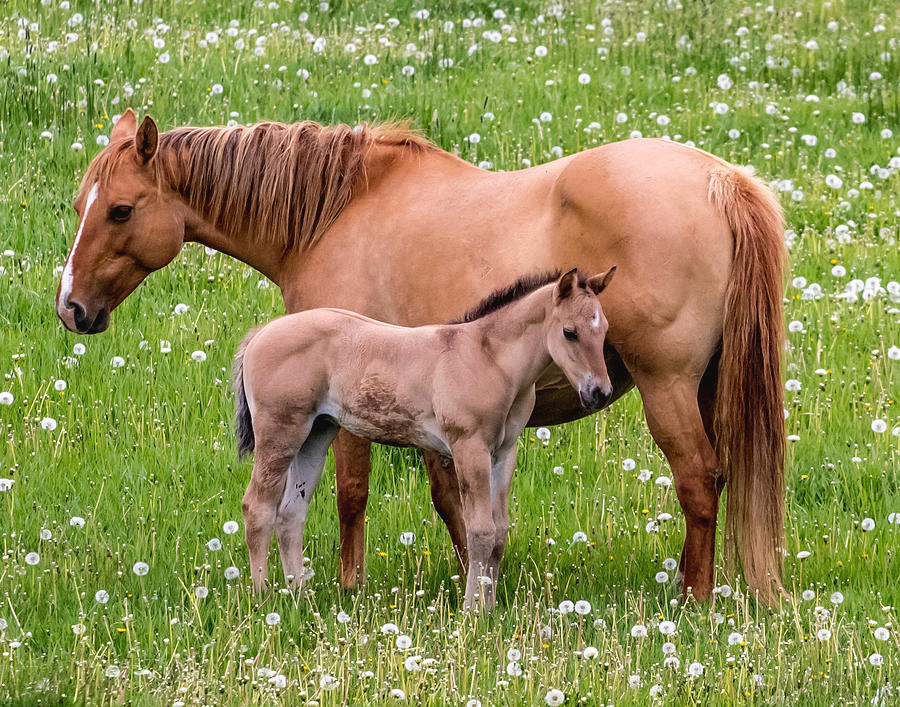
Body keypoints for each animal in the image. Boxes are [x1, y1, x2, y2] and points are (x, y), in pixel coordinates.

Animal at [232, 268, 615, 609]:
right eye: (569, 332)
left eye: (605, 331)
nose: (599, 392)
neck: (488, 359)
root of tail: (261, 333)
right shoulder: (469, 447)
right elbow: (480, 531)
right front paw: (472, 611)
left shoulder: (504, 453)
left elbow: (500, 533)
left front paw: (490, 607)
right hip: (281, 433)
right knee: (257, 507)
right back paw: (263, 597)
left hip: (315, 434)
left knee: (291, 514)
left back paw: (299, 596)